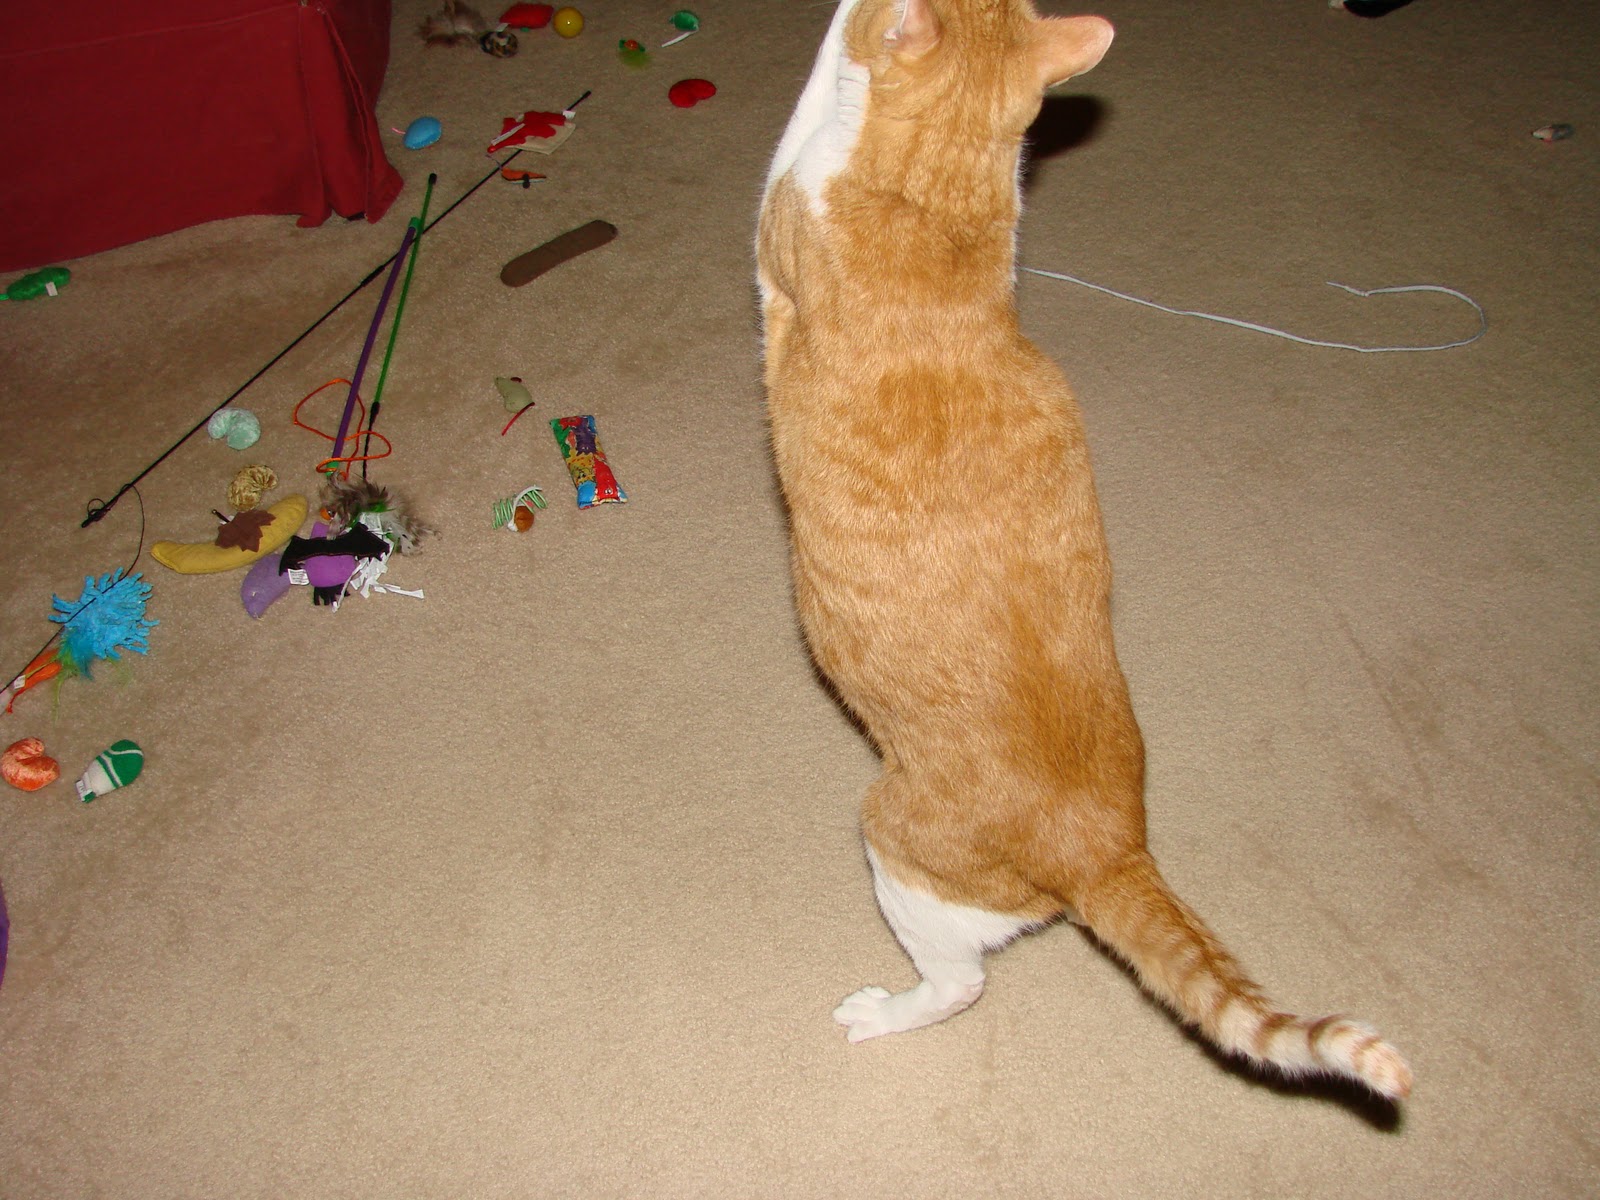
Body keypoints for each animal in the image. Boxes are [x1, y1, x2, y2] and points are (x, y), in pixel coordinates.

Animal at [756, 0, 1412, 1100]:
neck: (938, 209)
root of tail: (1109, 848)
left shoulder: (780, 214)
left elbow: (811, 101)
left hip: (892, 849)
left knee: (957, 986)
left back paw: (880, 1013)